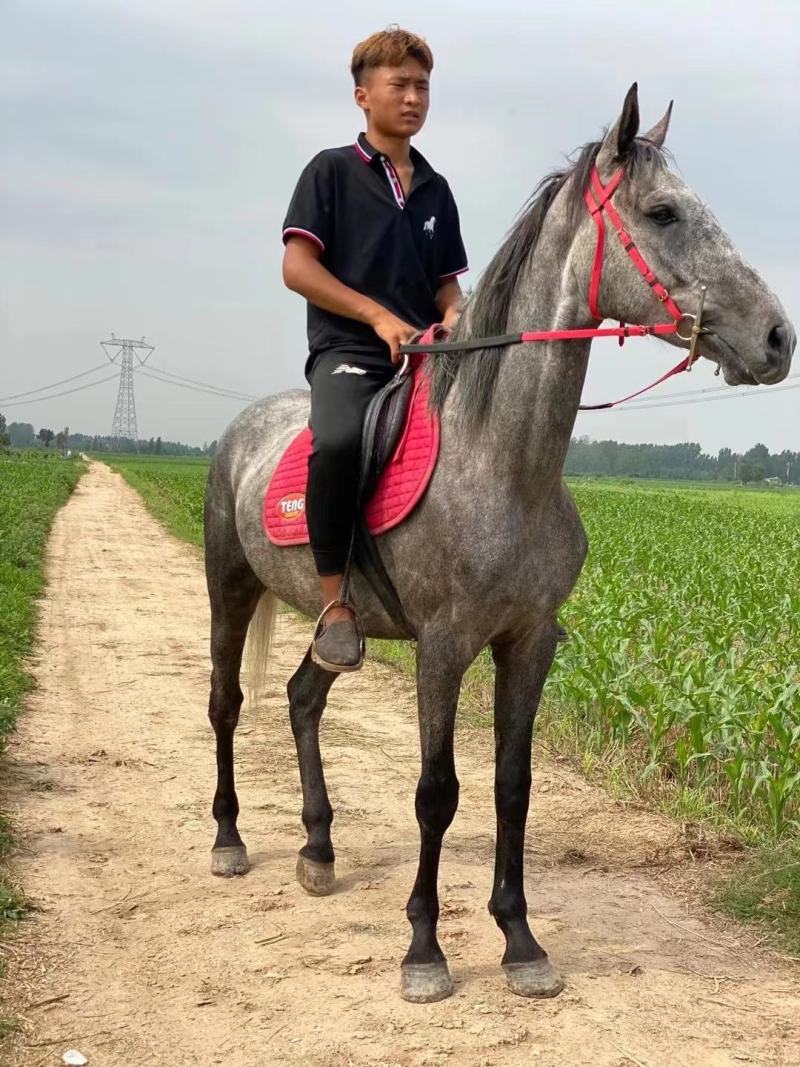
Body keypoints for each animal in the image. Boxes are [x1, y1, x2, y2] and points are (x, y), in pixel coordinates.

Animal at [203, 85, 795, 1004]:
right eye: (663, 211)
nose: (777, 338)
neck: (503, 461)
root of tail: (239, 433)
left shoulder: (529, 640)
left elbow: (512, 785)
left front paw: (520, 941)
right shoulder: (444, 646)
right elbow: (436, 792)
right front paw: (424, 950)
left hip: (341, 627)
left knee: (303, 696)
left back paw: (318, 848)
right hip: (229, 585)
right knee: (227, 701)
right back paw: (229, 840)